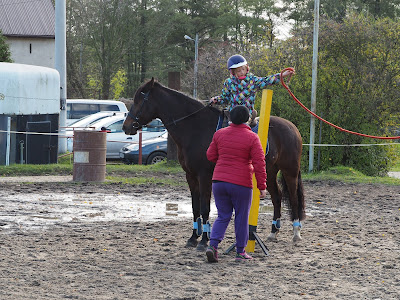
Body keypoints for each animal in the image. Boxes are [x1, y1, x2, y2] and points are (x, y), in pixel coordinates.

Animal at [122, 78, 306, 250]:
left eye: (139, 100)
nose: (126, 127)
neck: (196, 129)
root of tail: (291, 126)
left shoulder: (205, 176)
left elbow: (205, 208)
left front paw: (204, 240)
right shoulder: (191, 176)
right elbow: (195, 207)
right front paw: (193, 238)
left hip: (290, 171)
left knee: (293, 198)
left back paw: (296, 233)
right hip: (269, 171)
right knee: (277, 197)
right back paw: (273, 232)